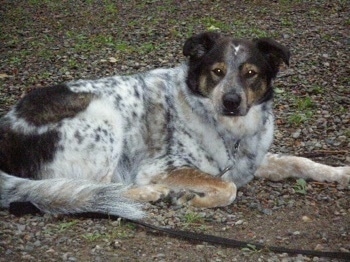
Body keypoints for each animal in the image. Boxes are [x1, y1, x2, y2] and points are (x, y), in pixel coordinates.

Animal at [0, 31, 348, 219]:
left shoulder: (252, 160)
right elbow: (228, 187)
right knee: (92, 189)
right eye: (217, 71)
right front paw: (194, 199)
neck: (229, 131)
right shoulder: (162, 166)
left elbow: (299, 161)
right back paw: (150, 193)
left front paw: (340, 173)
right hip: (104, 117)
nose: (231, 101)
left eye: (250, 73)